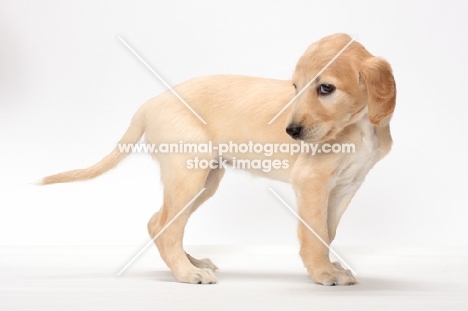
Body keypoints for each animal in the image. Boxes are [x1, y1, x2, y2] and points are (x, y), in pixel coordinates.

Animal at [42, 33, 396, 286]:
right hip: (188, 175)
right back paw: (187, 273)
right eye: (295, 87)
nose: (291, 131)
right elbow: (315, 233)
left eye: (325, 88)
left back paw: (191, 262)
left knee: (159, 222)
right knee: (165, 225)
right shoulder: (310, 182)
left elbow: (328, 230)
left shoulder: (346, 185)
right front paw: (323, 273)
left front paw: (329, 266)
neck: (359, 125)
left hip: (206, 179)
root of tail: (152, 101)